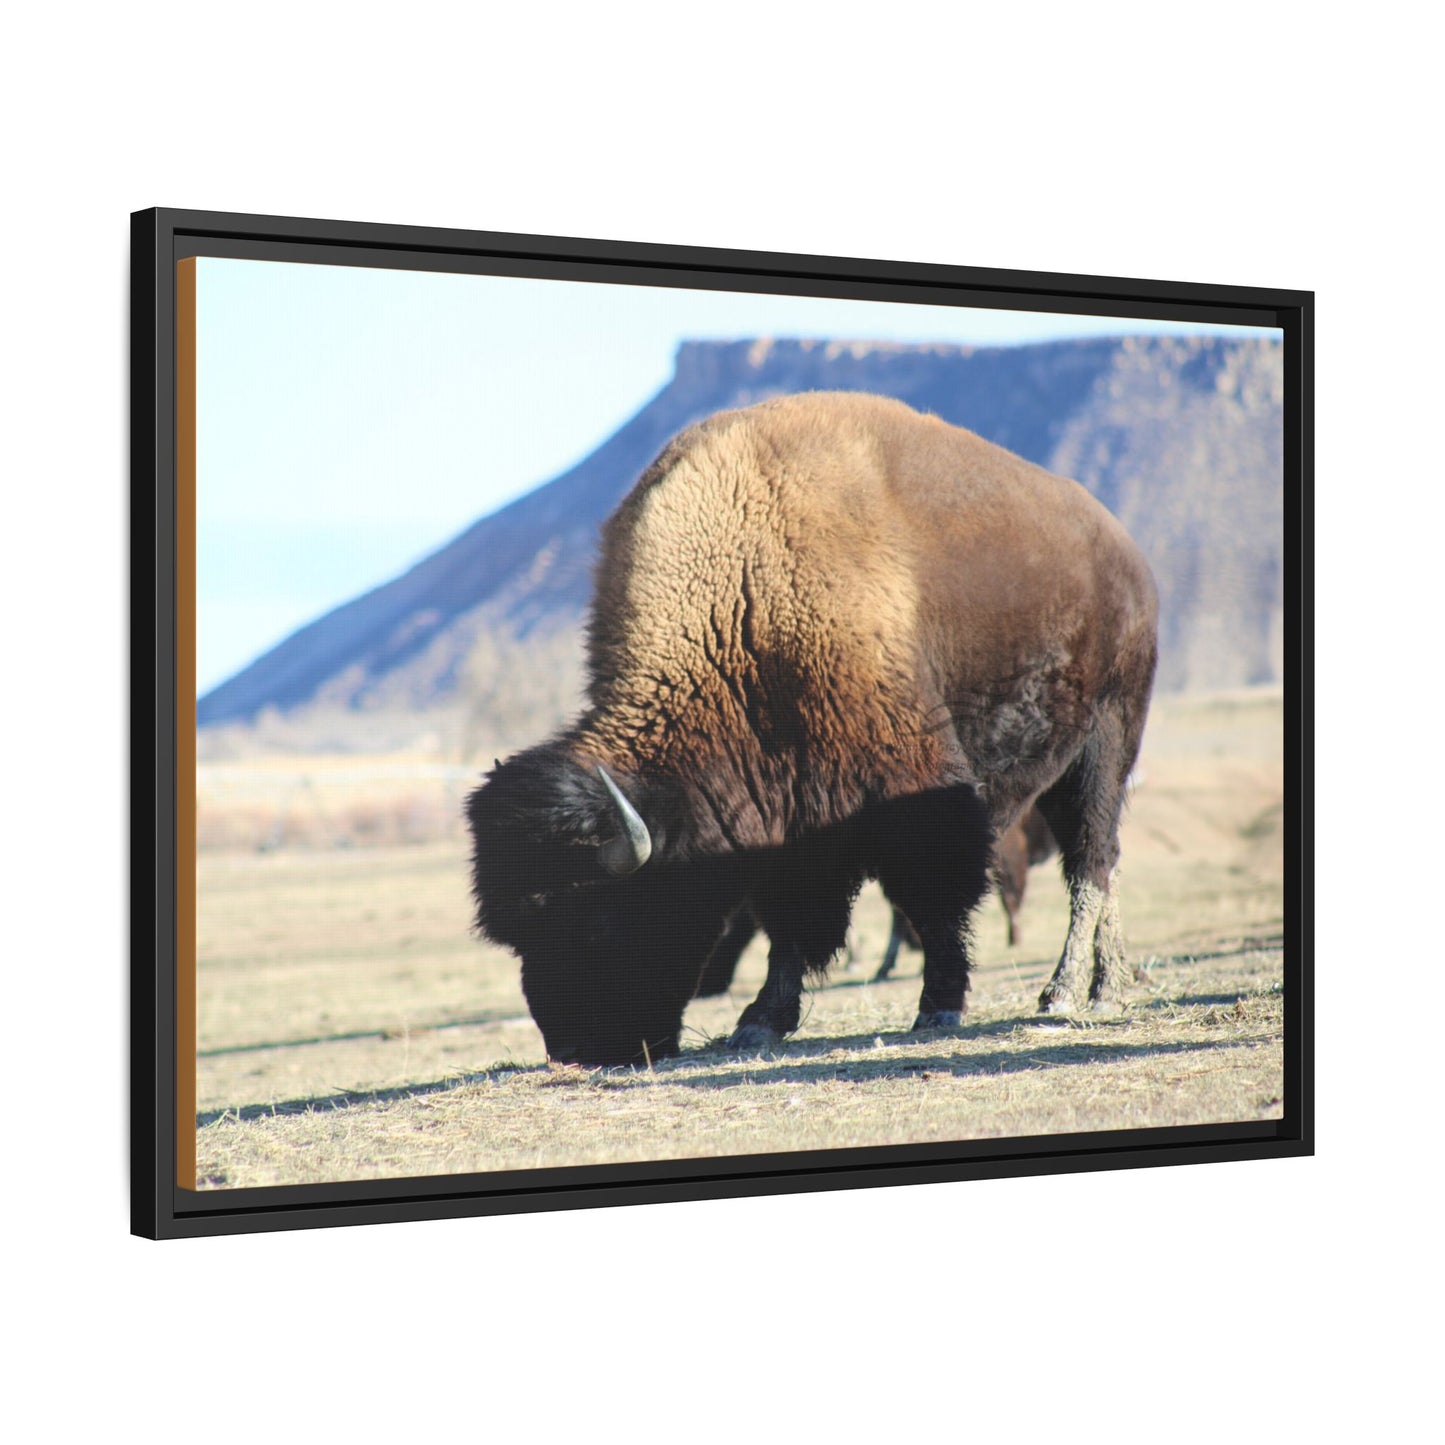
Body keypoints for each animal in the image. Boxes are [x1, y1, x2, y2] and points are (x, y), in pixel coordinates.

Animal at [467, 392, 1158, 1066]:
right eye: (518, 935)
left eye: (594, 919)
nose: (574, 1051)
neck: (743, 599)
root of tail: (1126, 554)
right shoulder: (785, 816)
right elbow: (789, 922)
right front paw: (760, 1022)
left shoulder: (913, 786)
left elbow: (932, 897)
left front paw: (938, 1006)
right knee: (1103, 862)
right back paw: (1108, 983)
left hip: (1105, 744)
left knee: (1091, 862)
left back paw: (1071, 992)